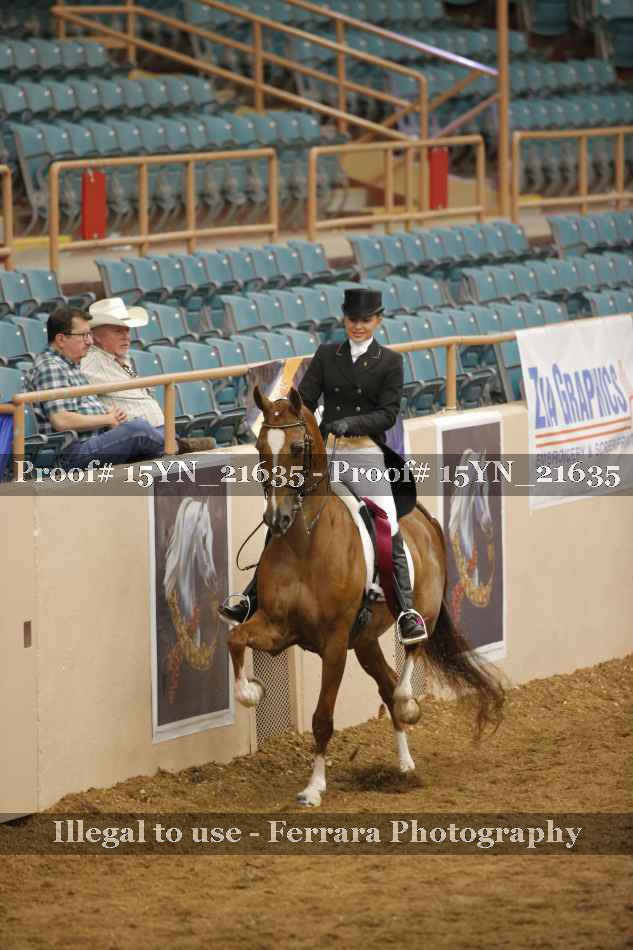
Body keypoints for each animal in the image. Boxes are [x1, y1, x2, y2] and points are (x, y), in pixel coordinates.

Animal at [226, 387, 504, 806]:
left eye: (296, 447)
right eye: (260, 447)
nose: (276, 519)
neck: (304, 543)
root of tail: (424, 518)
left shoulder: (334, 644)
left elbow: (322, 719)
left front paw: (313, 788)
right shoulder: (277, 627)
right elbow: (236, 638)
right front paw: (251, 691)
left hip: (418, 615)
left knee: (407, 664)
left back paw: (409, 706)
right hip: (366, 641)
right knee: (387, 688)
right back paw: (404, 764)